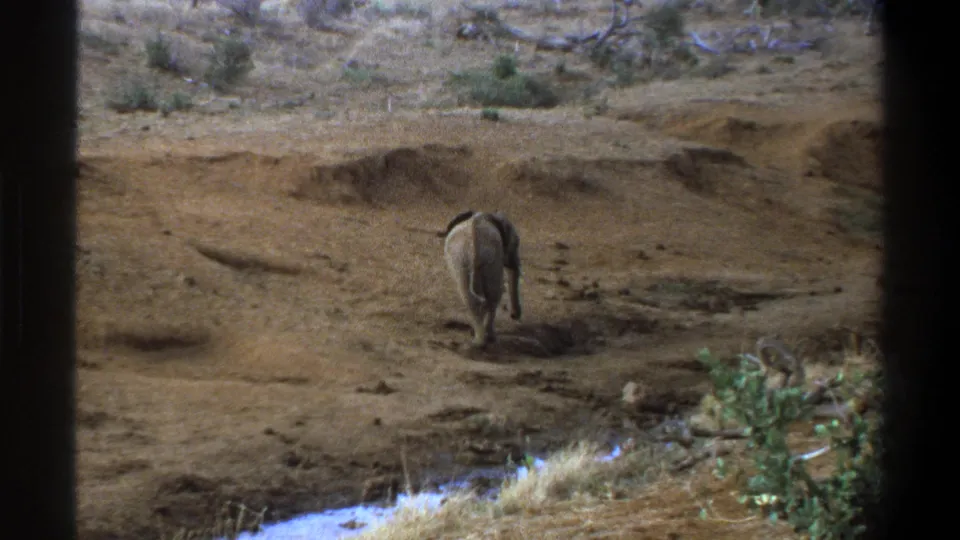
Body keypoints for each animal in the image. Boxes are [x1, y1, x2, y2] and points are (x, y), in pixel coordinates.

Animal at [442, 210, 522, 348]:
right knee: (491, 296)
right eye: (516, 244)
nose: (514, 316)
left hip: (464, 260)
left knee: (471, 296)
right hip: (486, 259)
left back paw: (478, 340)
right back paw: (486, 338)